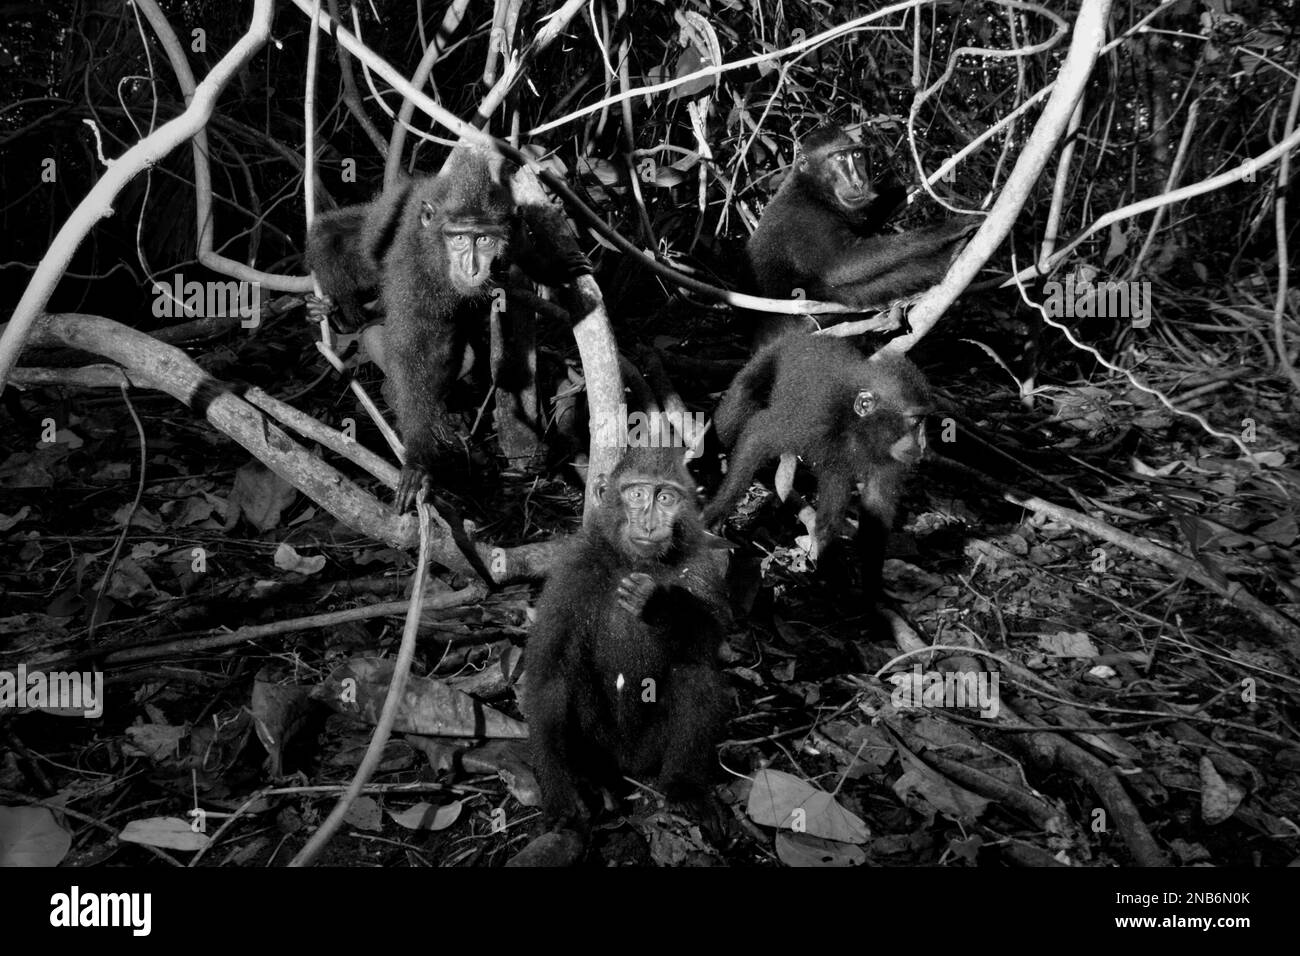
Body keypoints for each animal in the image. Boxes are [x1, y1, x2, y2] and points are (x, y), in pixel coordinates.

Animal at [304, 147, 590, 509]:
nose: (471, 268)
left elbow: (523, 248)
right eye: (458, 238)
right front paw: (418, 459)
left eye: (484, 239)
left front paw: (551, 269)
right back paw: (337, 315)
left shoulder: (511, 231)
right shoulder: (413, 271)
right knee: (337, 239)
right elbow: (410, 355)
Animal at [525, 444, 733, 832]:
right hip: (602, 741)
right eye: (636, 495)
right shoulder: (574, 568)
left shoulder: (699, 567)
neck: (633, 562)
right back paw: (594, 780)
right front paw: (560, 789)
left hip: (652, 749)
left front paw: (661, 605)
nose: (650, 524)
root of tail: (630, 764)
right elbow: (551, 674)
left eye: (666, 498)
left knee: (694, 673)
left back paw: (683, 788)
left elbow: (708, 644)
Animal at [707, 330, 930, 598]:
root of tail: (804, 336)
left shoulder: (886, 457)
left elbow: (876, 509)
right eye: (915, 421)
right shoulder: (815, 419)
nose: (924, 443)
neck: (855, 427)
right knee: (736, 408)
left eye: (923, 420)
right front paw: (716, 512)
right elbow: (757, 433)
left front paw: (871, 593)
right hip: (766, 358)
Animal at [743, 122, 977, 340]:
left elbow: (865, 221)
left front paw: (906, 186)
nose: (858, 182)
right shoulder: (804, 218)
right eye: (839, 158)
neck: (812, 191)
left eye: (856, 155)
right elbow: (841, 264)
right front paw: (950, 228)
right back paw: (947, 258)